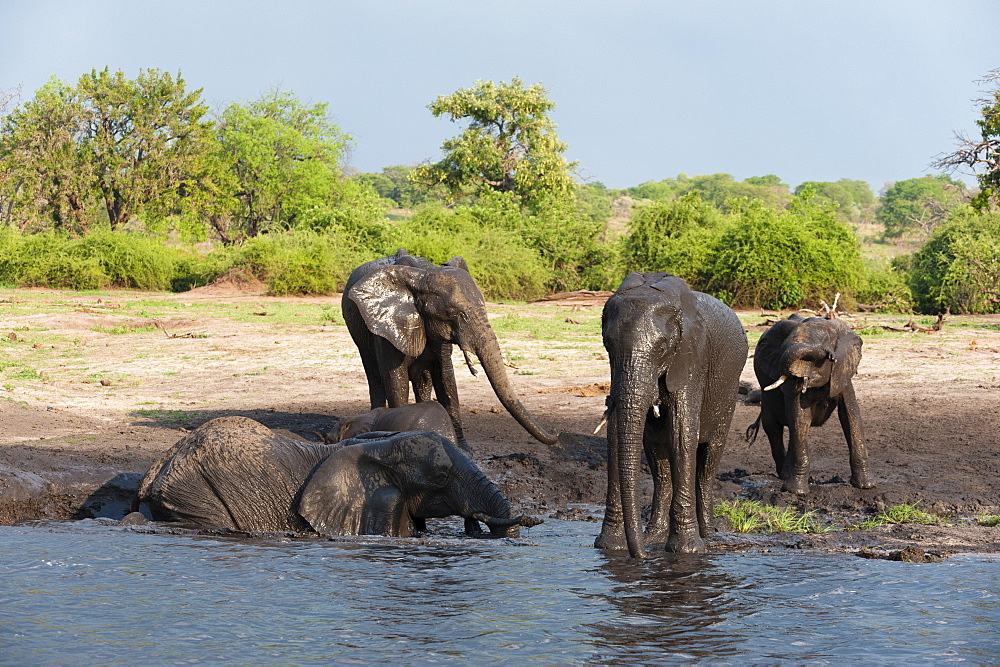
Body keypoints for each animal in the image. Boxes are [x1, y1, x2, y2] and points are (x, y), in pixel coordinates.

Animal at [342, 248, 564, 452]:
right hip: (359, 333)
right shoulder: (384, 327)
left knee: (423, 379)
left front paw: (462, 449)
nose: (557, 435)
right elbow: (396, 380)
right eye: (452, 313)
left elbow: (446, 378)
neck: (425, 274)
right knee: (374, 375)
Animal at [592, 272, 752, 560]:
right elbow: (617, 433)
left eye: (663, 347)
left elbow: (681, 432)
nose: (642, 557)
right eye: (607, 345)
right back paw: (654, 537)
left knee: (709, 460)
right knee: (658, 459)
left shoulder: (693, 356)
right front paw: (611, 546)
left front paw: (687, 551)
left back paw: (709, 537)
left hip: (729, 391)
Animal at [744, 314, 876, 496]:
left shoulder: (843, 370)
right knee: (773, 425)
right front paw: (796, 492)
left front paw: (866, 486)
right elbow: (800, 417)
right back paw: (784, 475)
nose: (829, 354)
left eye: (820, 358)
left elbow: (850, 415)